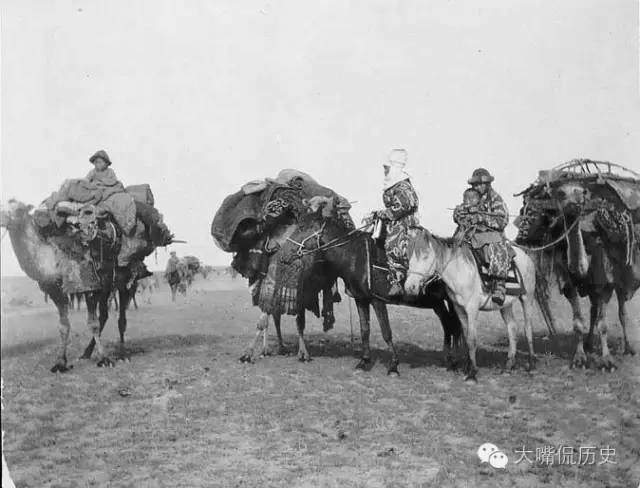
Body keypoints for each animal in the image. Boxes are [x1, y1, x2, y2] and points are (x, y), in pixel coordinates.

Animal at [278, 214, 462, 374]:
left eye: (302, 228)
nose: (283, 255)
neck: (354, 257)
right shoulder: (361, 300)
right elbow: (364, 330)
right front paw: (364, 361)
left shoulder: (377, 300)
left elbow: (386, 332)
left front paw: (393, 366)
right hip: (438, 303)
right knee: (449, 324)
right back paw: (449, 359)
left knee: (453, 325)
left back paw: (454, 361)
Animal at [404, 229, 540, 382]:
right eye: (410, 257)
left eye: (425, 256)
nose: (409, 287)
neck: (460, 272)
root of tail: (526, 256)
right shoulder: (459, 309)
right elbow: (465, 338)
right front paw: (467, 369)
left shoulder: (472, 309)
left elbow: (472, 339)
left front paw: (472, 374)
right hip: (505, 304)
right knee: (512, 328)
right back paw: (508, 367)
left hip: (527, 298)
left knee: (528, 328)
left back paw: (532, 366)